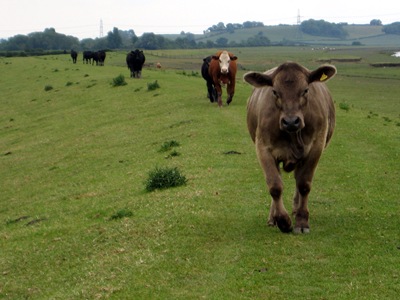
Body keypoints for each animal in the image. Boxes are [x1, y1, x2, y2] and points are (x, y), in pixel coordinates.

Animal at [245, 62, 336, 233]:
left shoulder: (316, 147)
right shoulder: (263, 148)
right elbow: (275, 185)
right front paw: (282, 220)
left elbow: (304, 184)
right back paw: (272, 217)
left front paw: (302, 221)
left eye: (305, 90)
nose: (291, 121)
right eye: (275, 91)